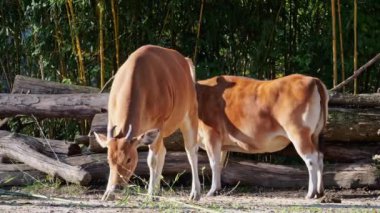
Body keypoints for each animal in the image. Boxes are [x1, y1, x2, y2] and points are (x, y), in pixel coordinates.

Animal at [93, 44, 200, 200]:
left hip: (190, 115)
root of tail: (185, 61)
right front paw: (107, 193)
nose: (116, 187)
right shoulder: (111, 121)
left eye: (129, 159)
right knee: (163, 152)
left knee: (191, 151)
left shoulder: (159, 124)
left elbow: (152, 160)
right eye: (109, 160)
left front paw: (150, 194)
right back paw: (157, 190)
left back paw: (195, 192)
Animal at [197, 74, 328, 199]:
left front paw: (212, 190)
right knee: (320, 158)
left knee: (311, 159)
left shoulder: (211, 135)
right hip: (315, 135)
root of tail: (312, 80)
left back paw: (311, 193)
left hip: (299, 134)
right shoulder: (222, 145)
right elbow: (220, 164)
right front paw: (217, 189)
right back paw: (319, 192)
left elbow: (213, 163)